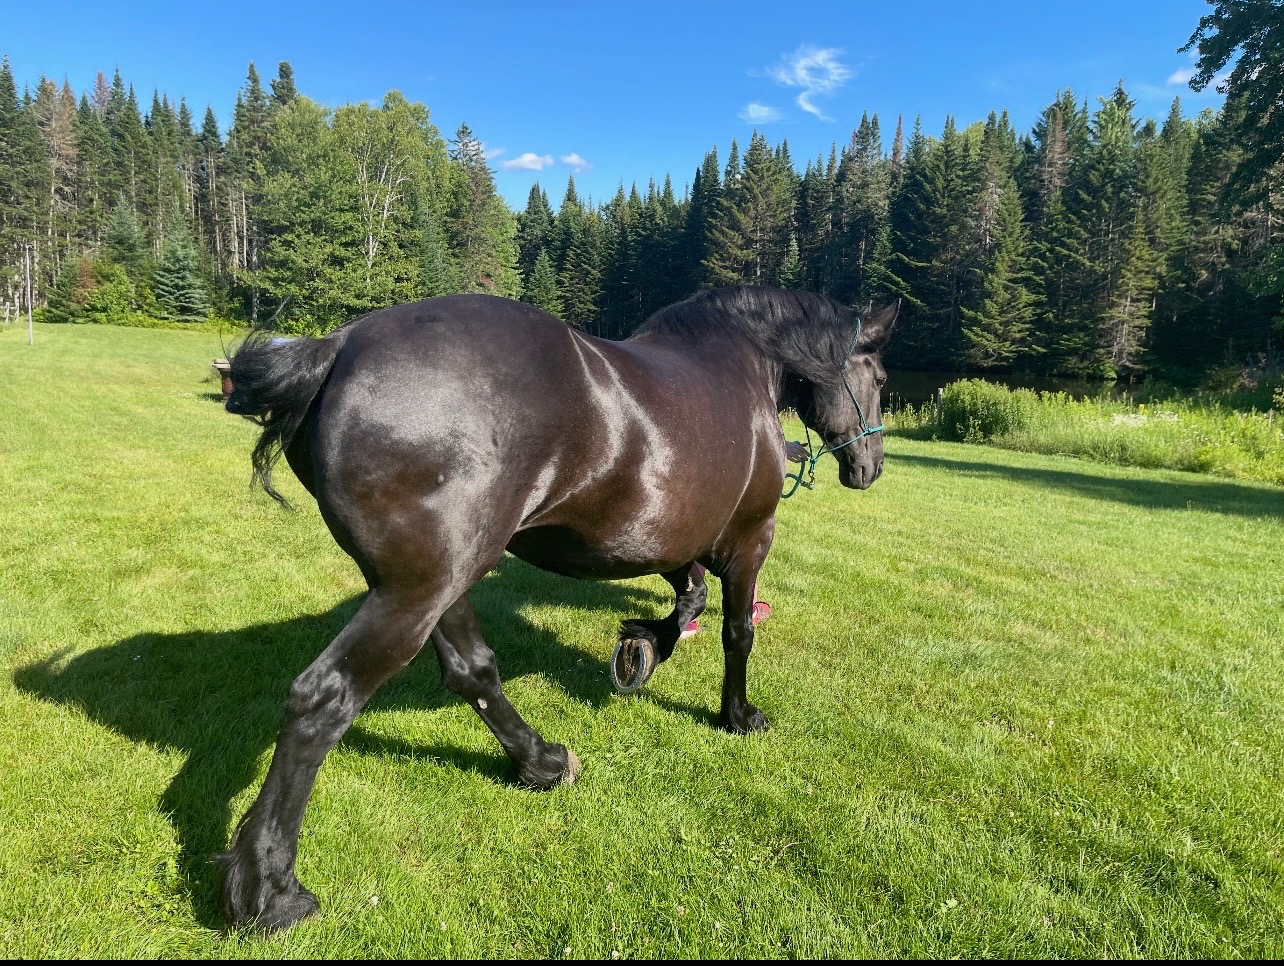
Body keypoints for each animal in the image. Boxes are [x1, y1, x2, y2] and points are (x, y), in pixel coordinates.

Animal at [221, 284, 898, 932]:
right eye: (880, 378)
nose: (870, 467)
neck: (743, 363)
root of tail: (337, 348)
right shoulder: (747, 538)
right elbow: (735, 631)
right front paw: (737, 713)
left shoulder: (672, 541)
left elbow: (689, 600)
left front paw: (640, 649)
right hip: (417, 593)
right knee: (323, 699)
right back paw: (269, 890)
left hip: (435, 582)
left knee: (472, 671)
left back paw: (541, 762)